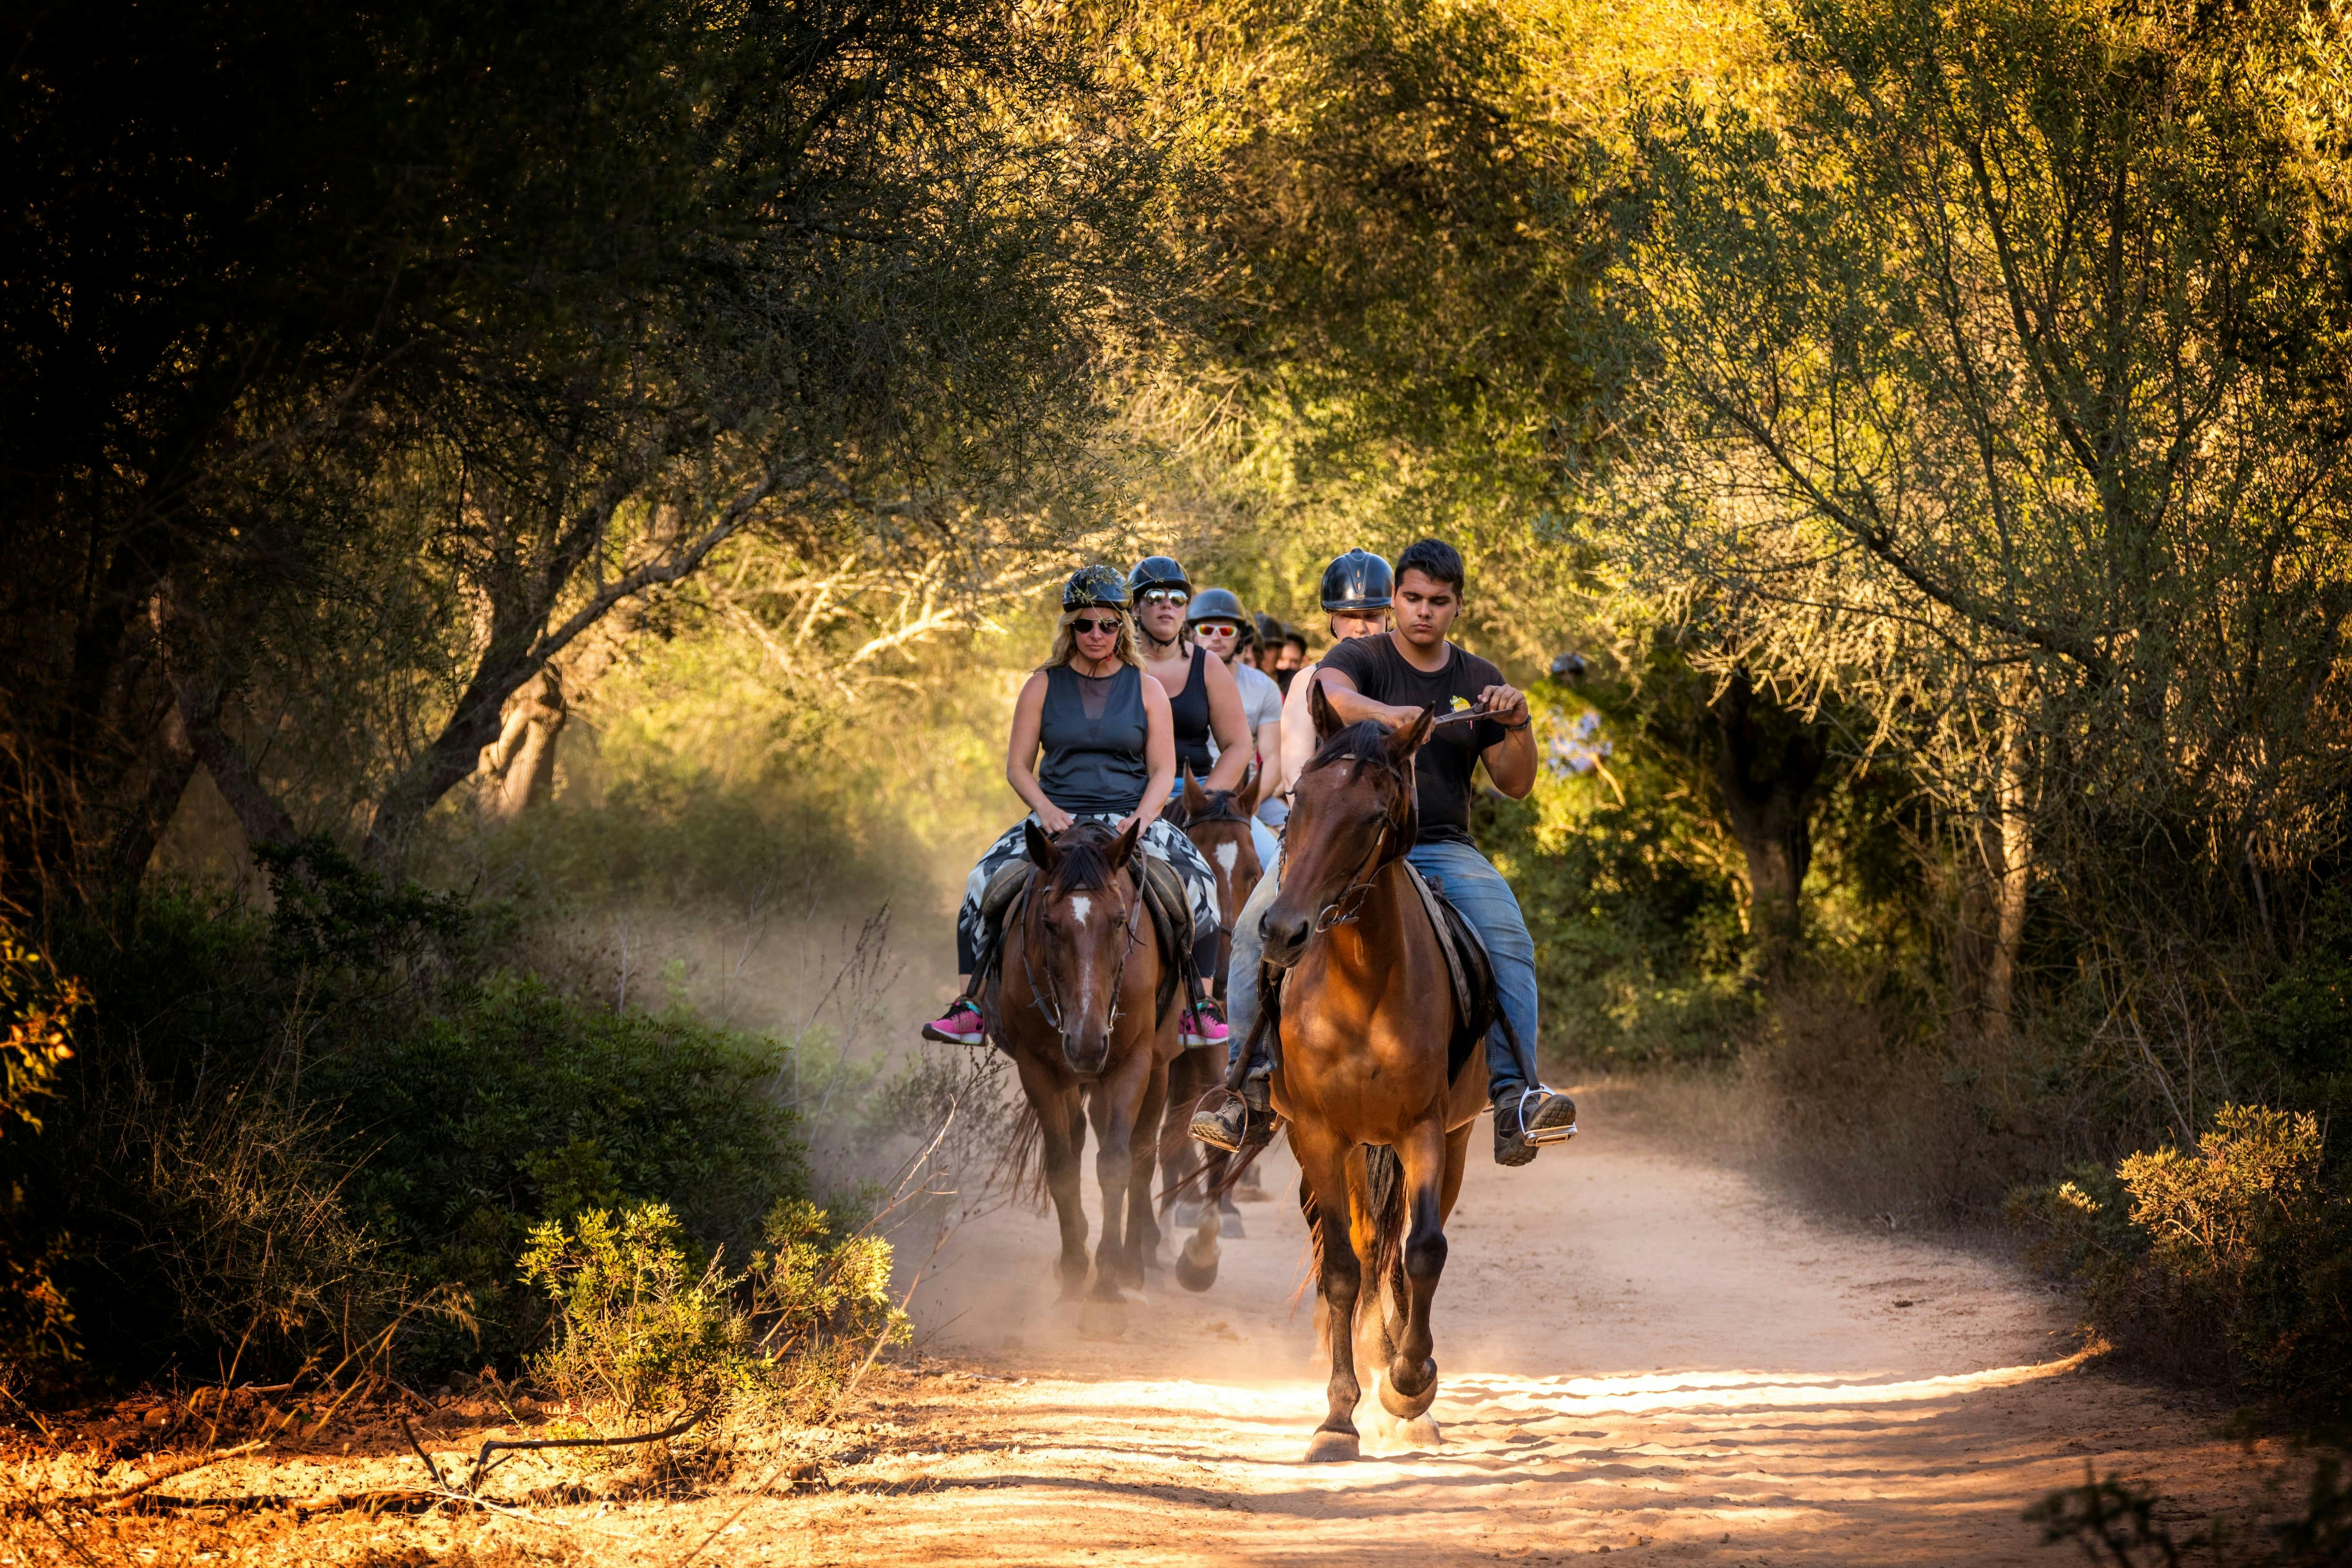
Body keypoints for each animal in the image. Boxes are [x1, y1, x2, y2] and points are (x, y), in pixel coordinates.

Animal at [988, 818, 1185, 1335]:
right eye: (1049, 925)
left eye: (1118, 921)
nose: (1087, 1042)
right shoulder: (1037, 1069)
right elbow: (1061, 1166)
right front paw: (1077, 1271)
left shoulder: (1130, 1063)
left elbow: (1116, 1164)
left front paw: (1107, 1290)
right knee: (1077, 1141)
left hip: (1157, 1067)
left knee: (1143, 1154)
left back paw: (1133, 1266)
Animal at [1261, 691, 1477, 1467]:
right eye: (1298, 801)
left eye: (1373, 818)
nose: (1283, 932)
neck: (1361, 980)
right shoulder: (1319, 1135)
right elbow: (1342, 1270)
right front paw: (1337, 1418)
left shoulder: (1424, 1129)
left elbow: (1423, 1251)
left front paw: (1411, 1383)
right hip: (1350, 1149)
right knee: (1361, 1245)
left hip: (1451, 1140)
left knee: (1402, 1248)